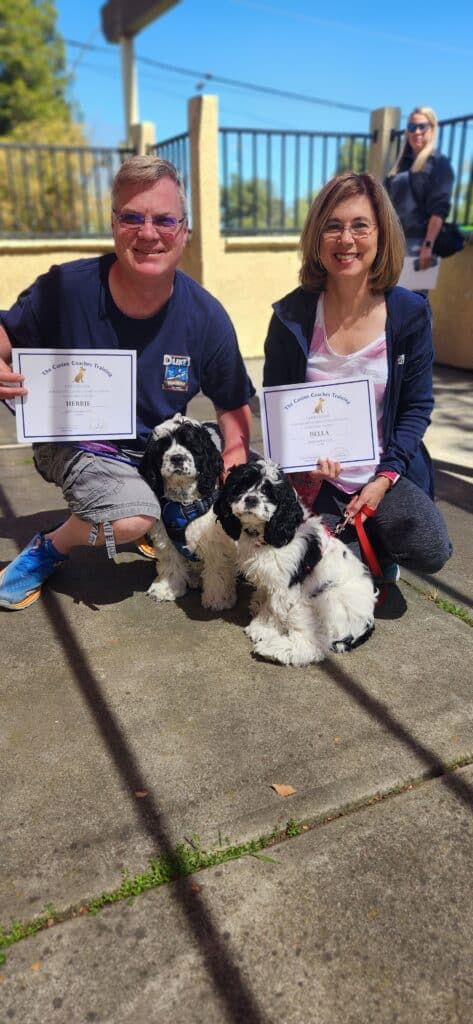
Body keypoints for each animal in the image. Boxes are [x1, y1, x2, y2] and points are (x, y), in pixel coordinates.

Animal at [139, 413, 236, 606]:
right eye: (163, 447)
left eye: (191, 446)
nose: (177, 458)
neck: (184, 502)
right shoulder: (166, 538)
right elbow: (170, 563)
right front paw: (166, 589)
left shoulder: (215, 541)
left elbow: (218, 569)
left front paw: (218, 599)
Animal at [212, 456, 374, 663]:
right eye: (240, 486)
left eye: (269, 492)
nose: (251, 499)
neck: (267, 535)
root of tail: (366, 626)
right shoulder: (268, 576)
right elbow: (264, 595)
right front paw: (258, 606)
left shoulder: (283, 587)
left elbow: (272, 609)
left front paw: (261, 628)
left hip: (316, 604)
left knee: (313, 646)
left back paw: (272, 649)